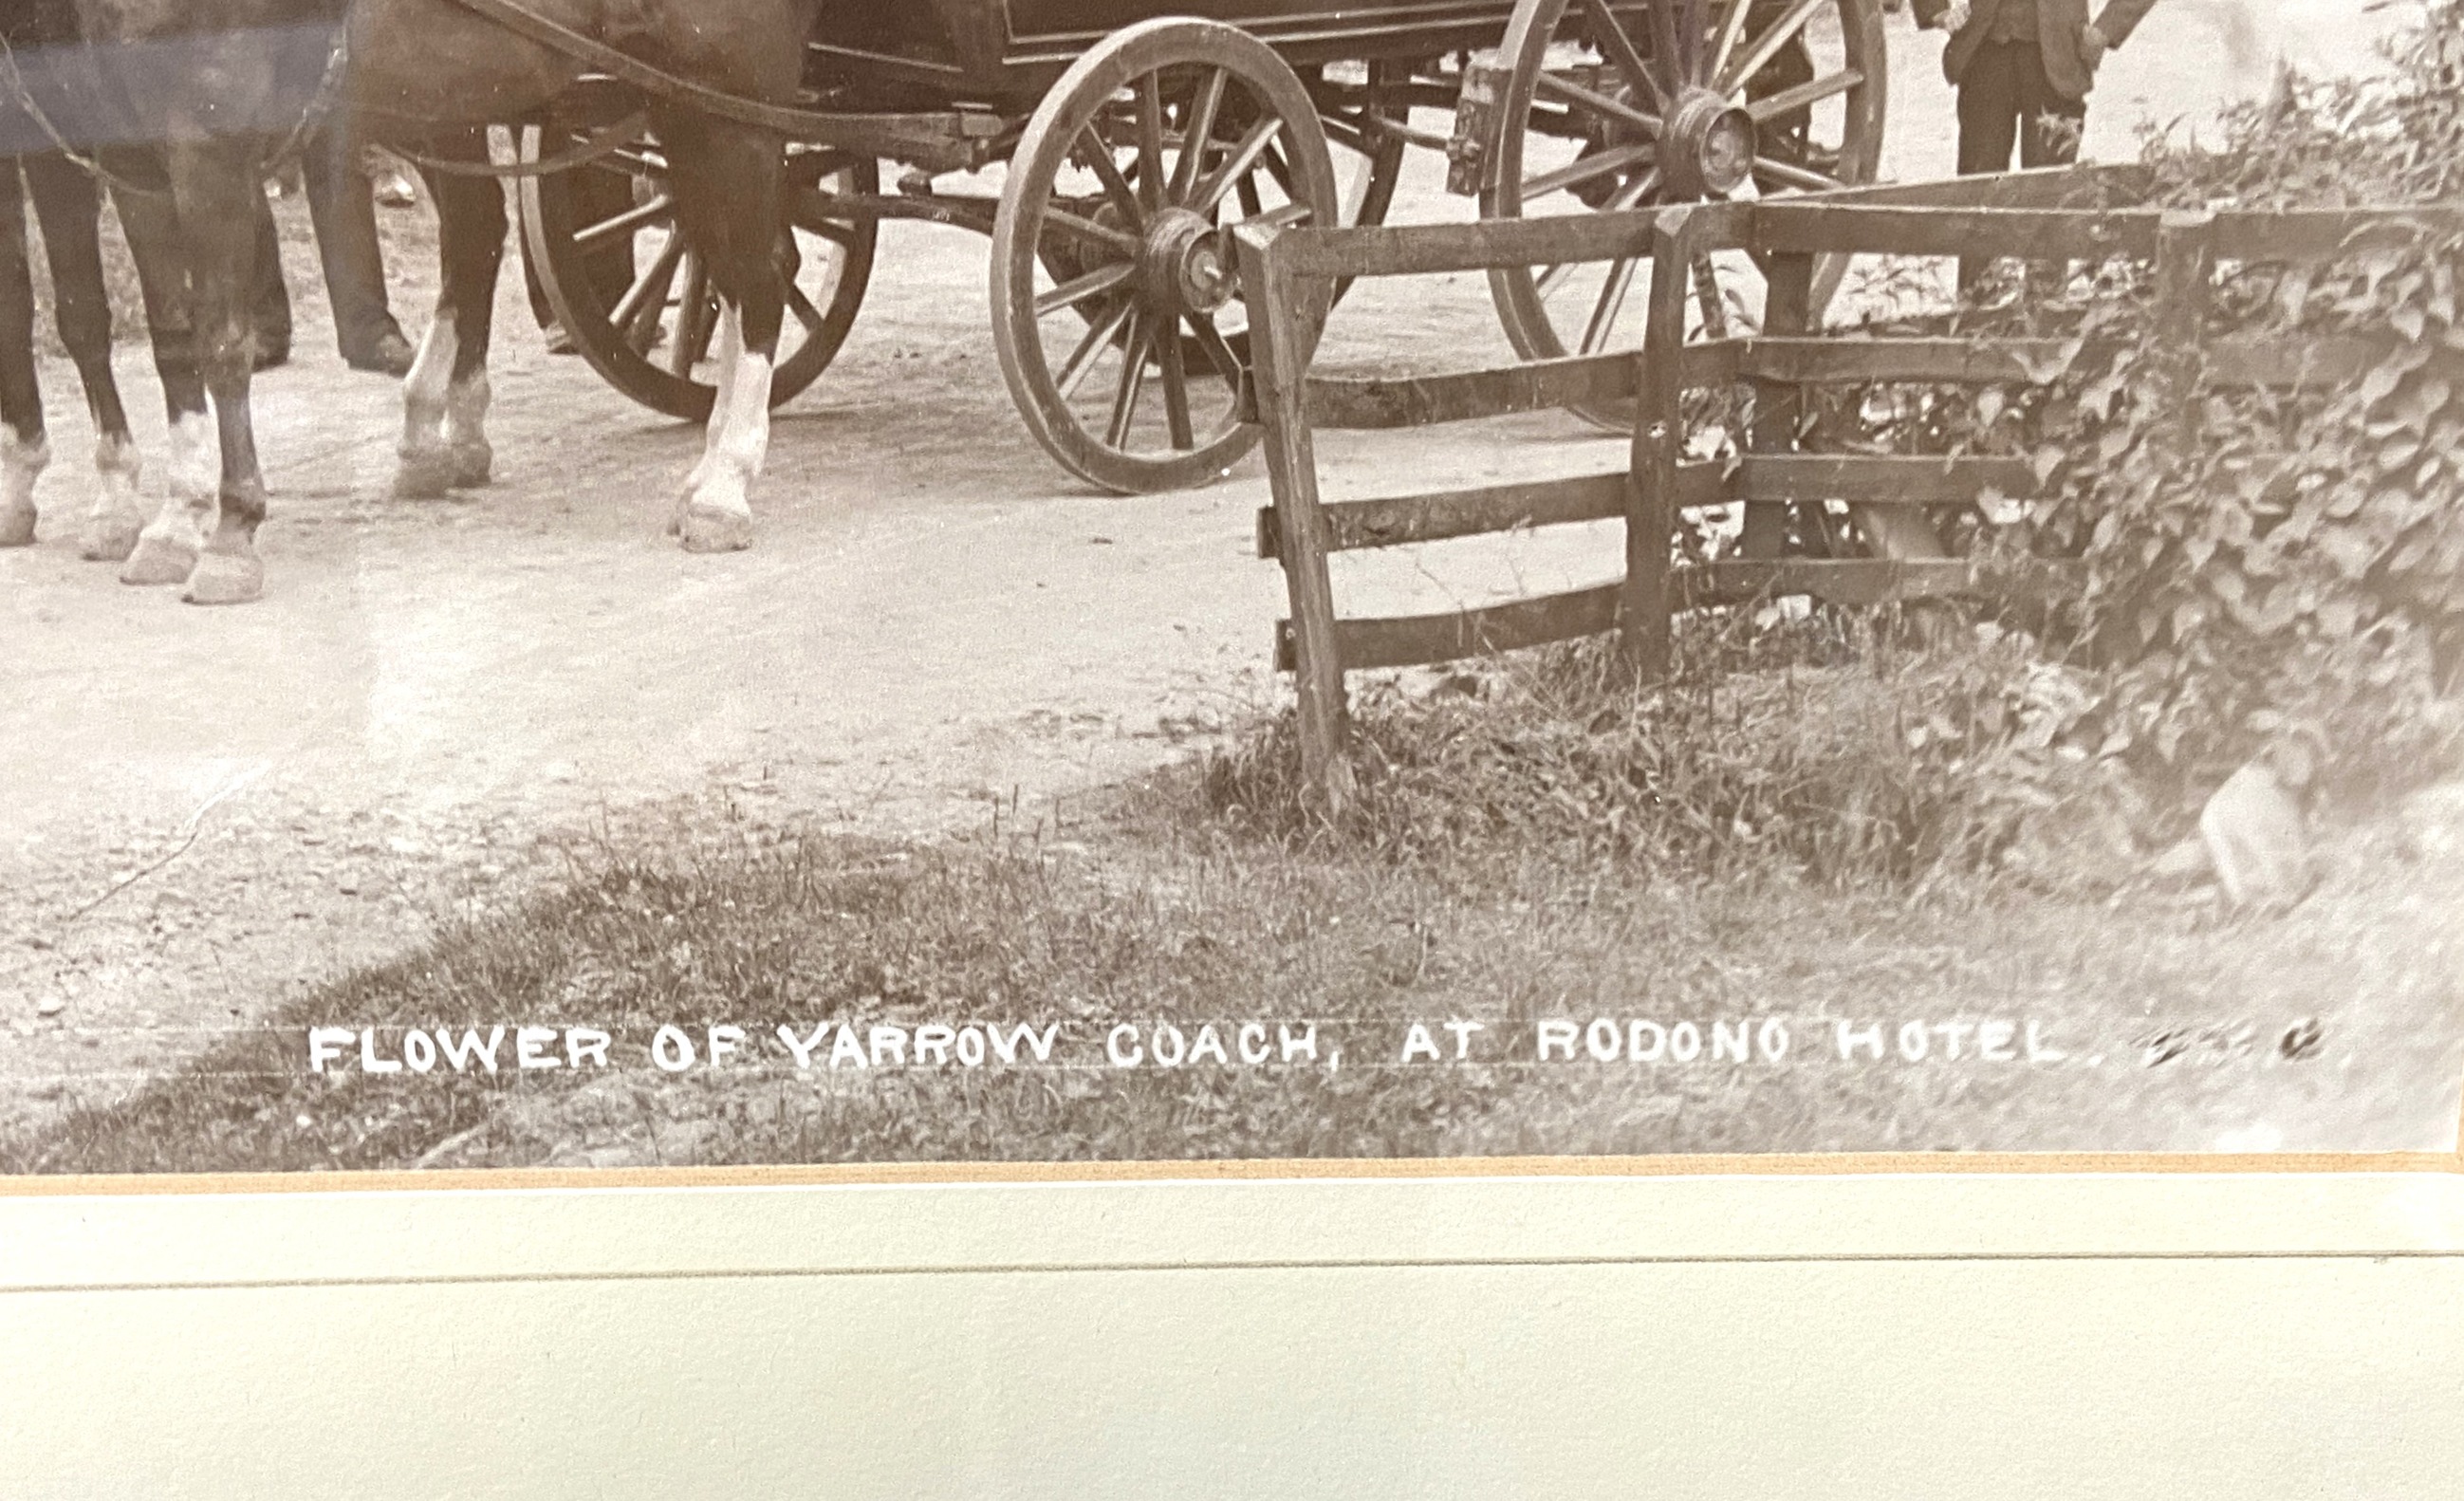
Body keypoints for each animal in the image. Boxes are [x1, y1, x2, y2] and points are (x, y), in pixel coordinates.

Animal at [69, 6, 807, 606]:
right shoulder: (132, 158)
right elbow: (173, 345)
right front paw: (174, 525)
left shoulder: (211, 143)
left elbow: (223, 345)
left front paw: (230, 532)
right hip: (666, 107)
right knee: (729, 273)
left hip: (726, 106)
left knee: (761, 282)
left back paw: (724, 486)